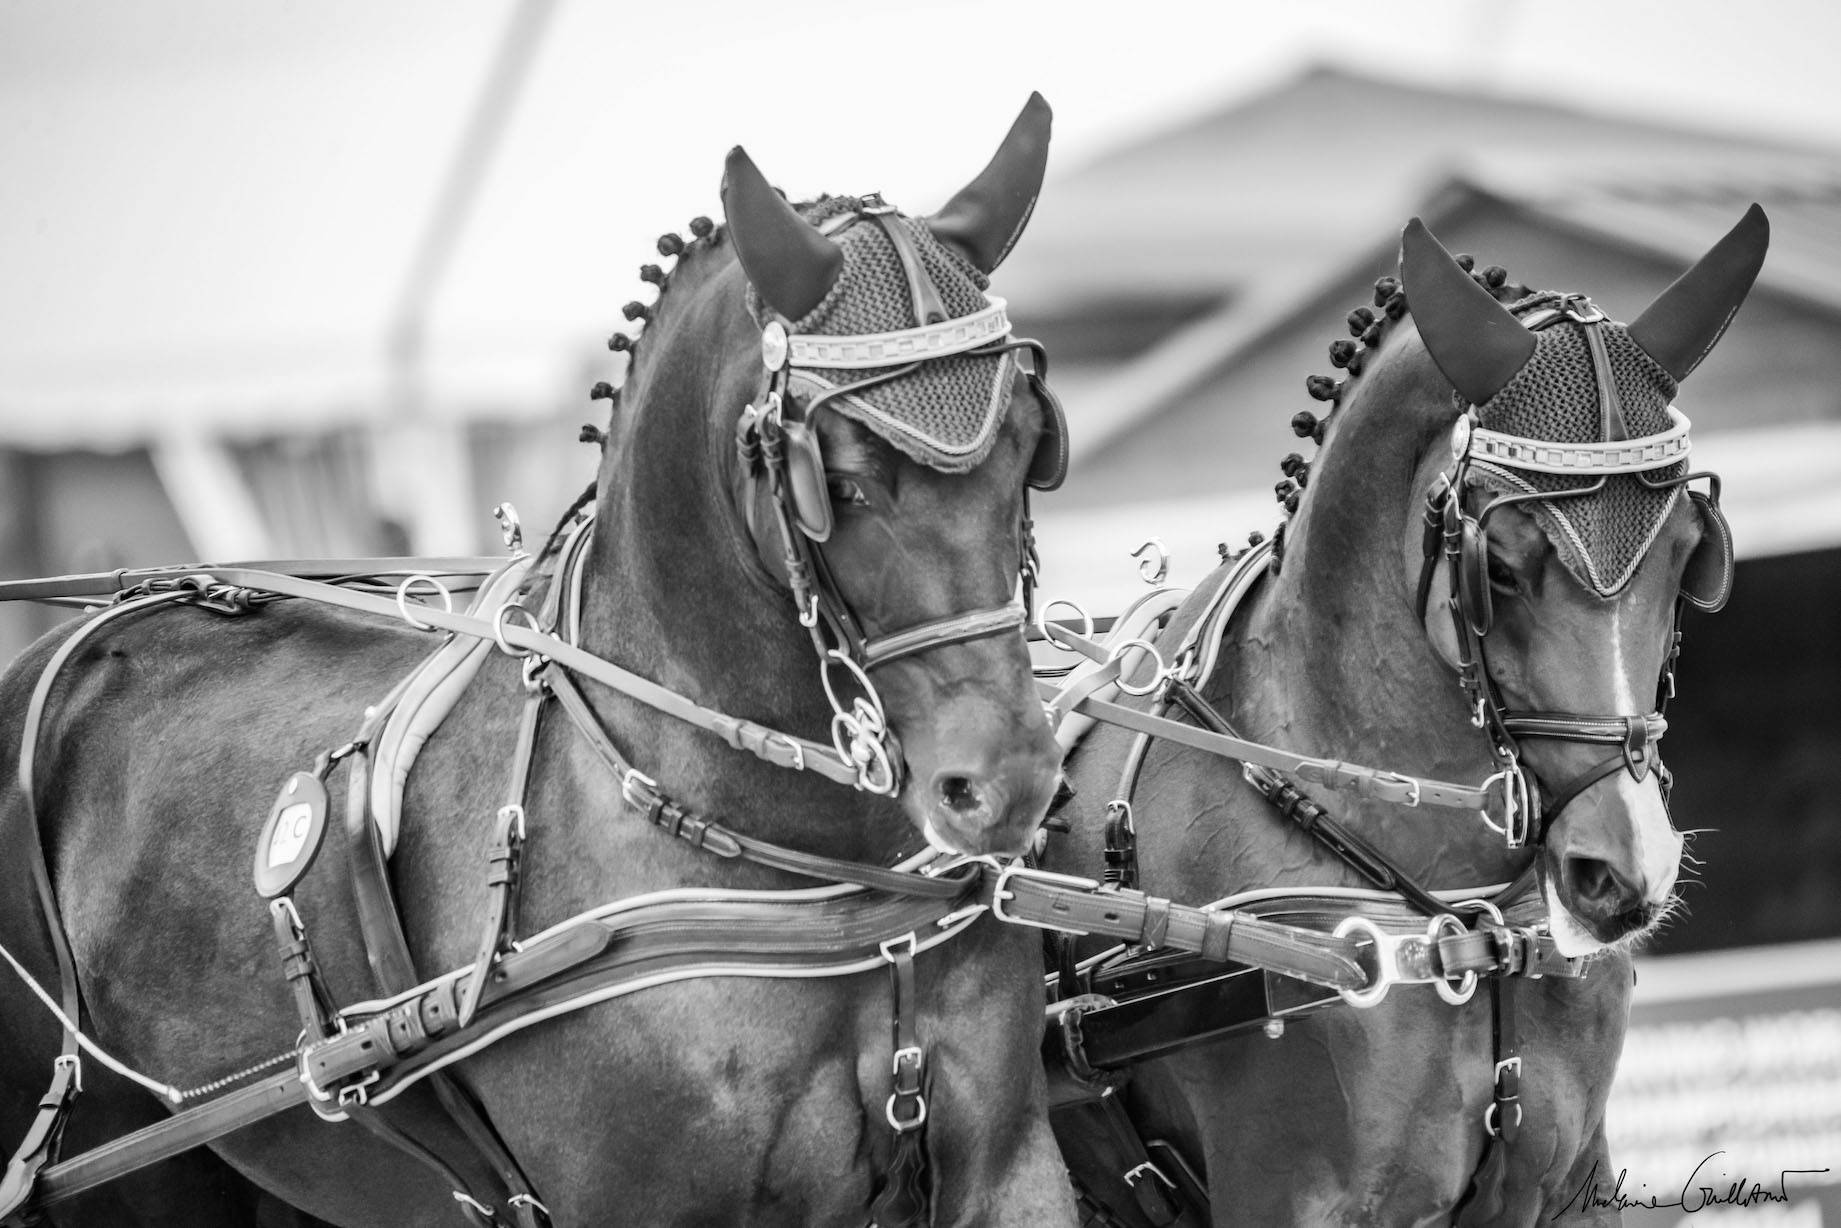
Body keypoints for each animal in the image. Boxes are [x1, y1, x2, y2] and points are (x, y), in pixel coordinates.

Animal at [1041, 208, 1768, 1226]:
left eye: (1688, 553)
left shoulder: (1565, 1188)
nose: (1623, 871)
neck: (1461, 909)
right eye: (1497, 565)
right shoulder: (1295, 1197)